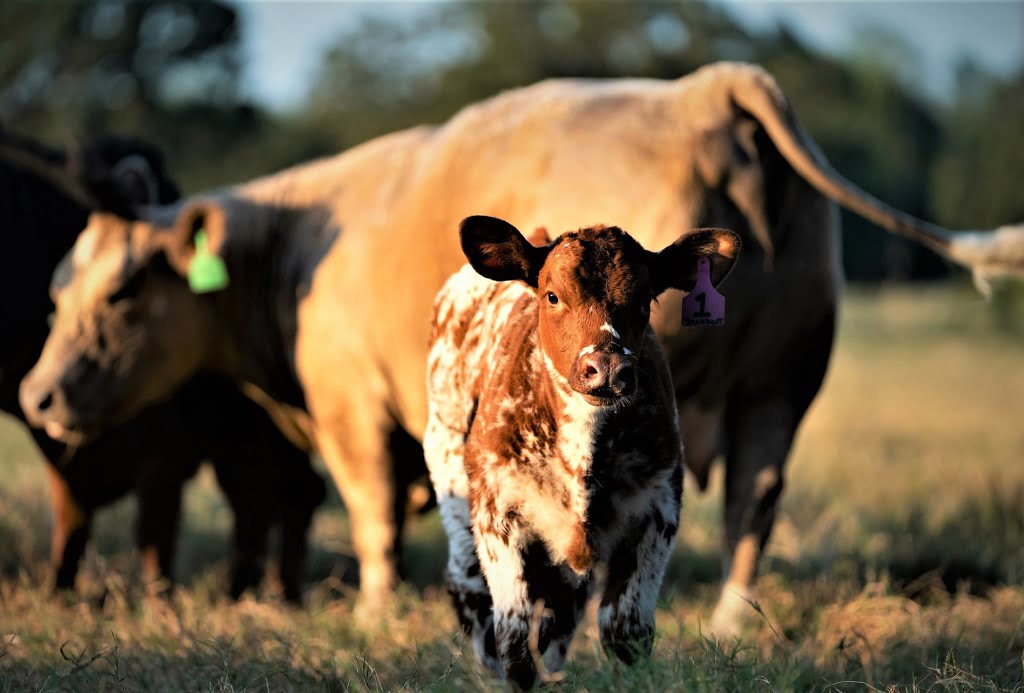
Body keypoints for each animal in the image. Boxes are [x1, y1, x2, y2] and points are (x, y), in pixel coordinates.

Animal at [18, 63, 1024, 630]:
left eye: (121, 290)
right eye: (58, 287)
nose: (38, 397)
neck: (298, 247)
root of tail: (707, 85)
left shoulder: (352, 407)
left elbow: (372, 514)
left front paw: (375, 615)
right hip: (780, 386)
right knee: (756, 500)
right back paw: (732, 622)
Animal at [423, 218, 737, 687]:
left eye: (644, 299)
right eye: (553, 295)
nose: (606, 369)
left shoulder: (658, 507)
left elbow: (625, 631)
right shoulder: (499, 512)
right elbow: (515, 638)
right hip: (447, 467)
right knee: (469, 585)